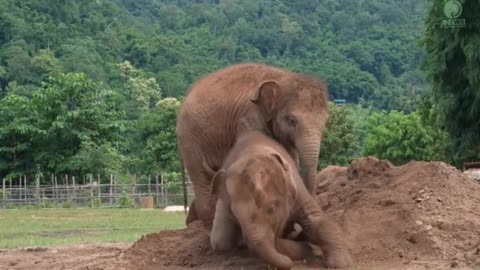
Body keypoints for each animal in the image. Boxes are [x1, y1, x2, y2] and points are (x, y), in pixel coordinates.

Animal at [177, 62, 330, 226]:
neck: (283, 79)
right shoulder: (249, 119)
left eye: (325, 121)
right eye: (291, 121)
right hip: (189, 139)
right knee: (201, 177)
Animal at [210, 130, 352, 268]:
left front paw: (338, 263)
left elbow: (315, 219)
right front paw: (306, 248)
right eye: (234, 215)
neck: (250, 152)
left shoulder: (296, 186)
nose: (290, 263)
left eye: (272, 208)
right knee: (220, 242)